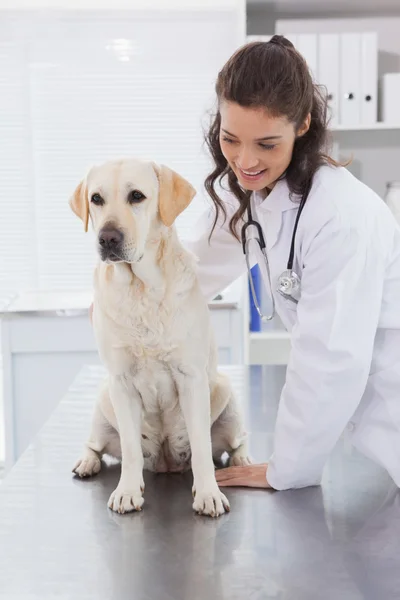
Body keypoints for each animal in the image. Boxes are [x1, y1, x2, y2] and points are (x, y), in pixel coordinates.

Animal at [70, 158, 248, 516]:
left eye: (137, 196)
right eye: (96, 199)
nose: (107, 238)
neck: (141, 290)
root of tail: (166, 464)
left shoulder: (191, 378)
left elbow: (202, 448)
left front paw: (208, 494)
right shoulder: (121, 381)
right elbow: (129, 449)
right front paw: (127, 491)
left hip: (225, 394)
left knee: (234, 442)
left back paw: (243, 459)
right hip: (103, 400)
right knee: (95, 444)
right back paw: (86, 462)